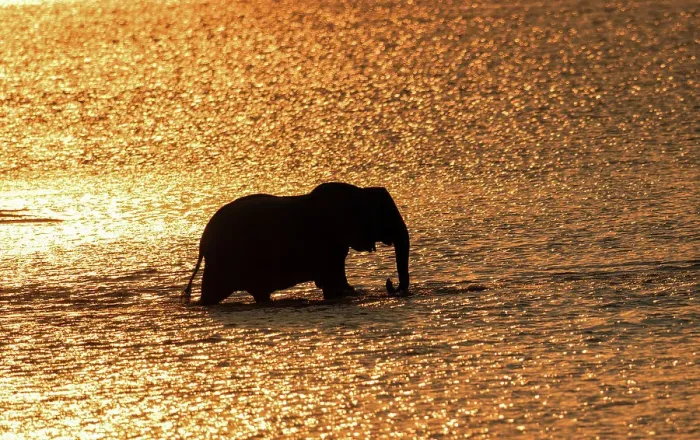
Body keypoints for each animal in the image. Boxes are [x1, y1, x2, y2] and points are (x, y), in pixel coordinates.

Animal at [182, 182, 410, 305]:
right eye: (385, 216)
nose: (389, 284)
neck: (360, 192)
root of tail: (203, 240)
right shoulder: (329, 242)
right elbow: (334, 282)